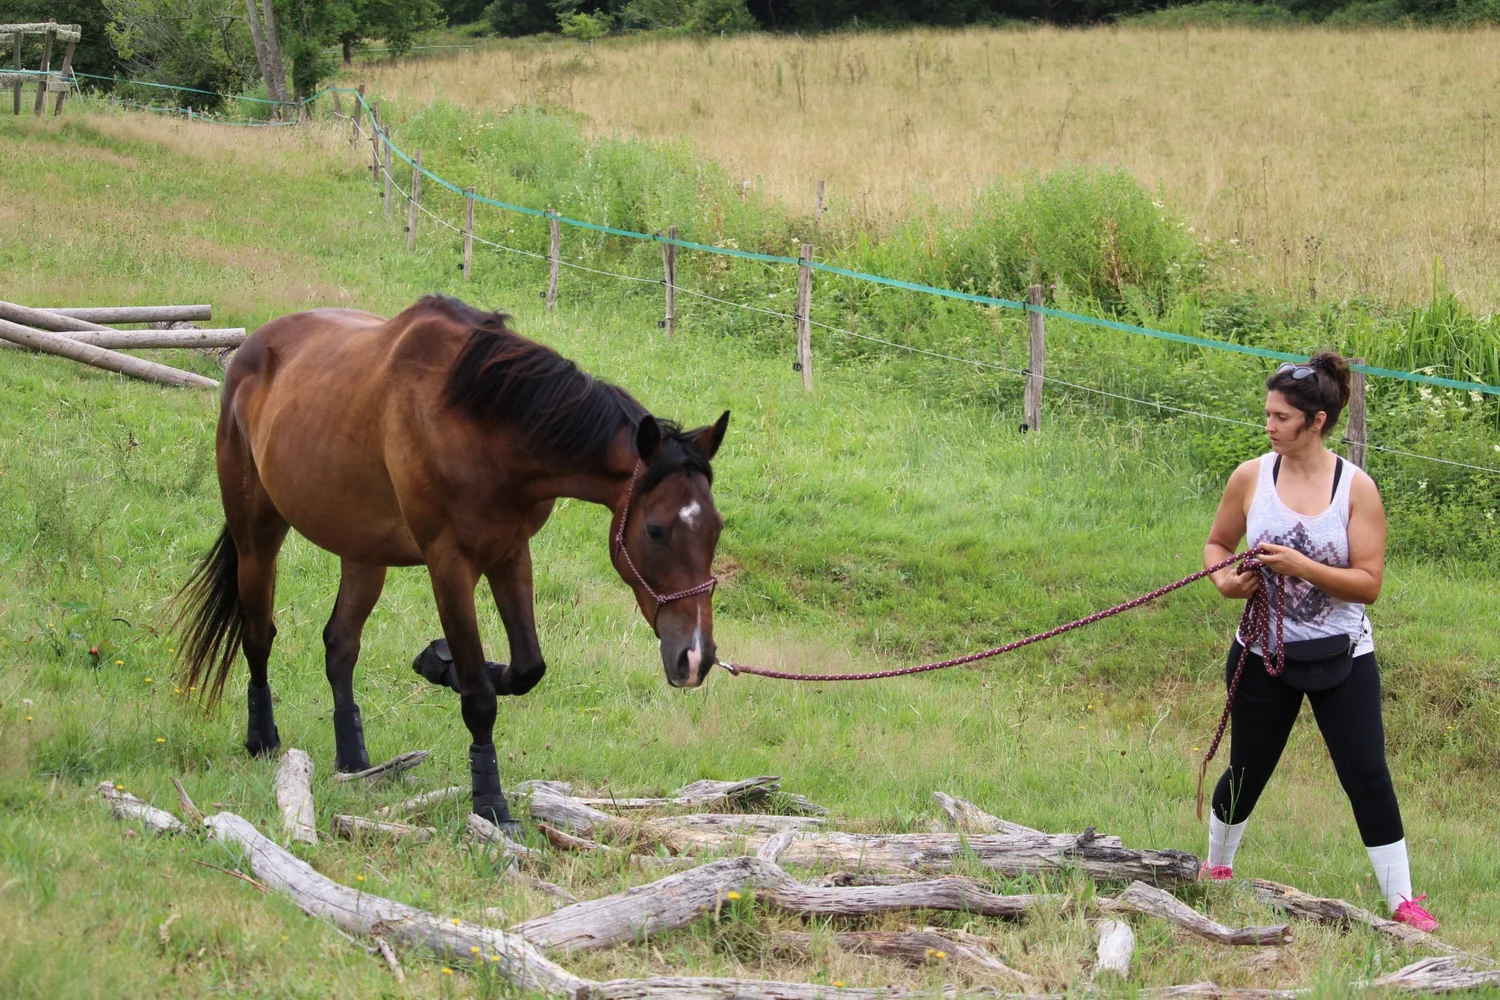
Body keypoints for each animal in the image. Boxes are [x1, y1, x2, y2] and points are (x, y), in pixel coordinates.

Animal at [173, 295, 730, 826]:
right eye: (656, 530)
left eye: (717, 528)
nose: (696, 657)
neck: (486, 426)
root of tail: (254, 348)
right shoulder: (449, 565)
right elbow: (481, 698)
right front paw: (492, 805)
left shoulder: (510, 553)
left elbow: (527, 668)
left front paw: (440, 663)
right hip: (257, 535)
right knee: (258, 635)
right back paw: (263, 740)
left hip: (363, 553)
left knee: (340, 645)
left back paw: (354, 760)